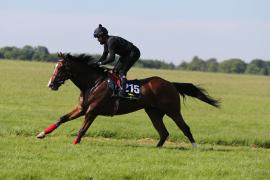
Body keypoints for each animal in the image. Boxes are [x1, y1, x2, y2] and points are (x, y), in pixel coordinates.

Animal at [36, 53, 219, 148]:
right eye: (55, 66)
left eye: (61, 68)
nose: (50, 84)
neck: (93, 83)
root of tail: (170, 84)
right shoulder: (82, 108)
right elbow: (62, 118)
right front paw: (41, 133)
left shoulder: (93, 110)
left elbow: (82, 129)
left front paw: (75, 143)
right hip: (153, 112)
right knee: (163, 132)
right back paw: (157, 148)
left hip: (172, 110)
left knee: (184, 127)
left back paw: (195, 147)